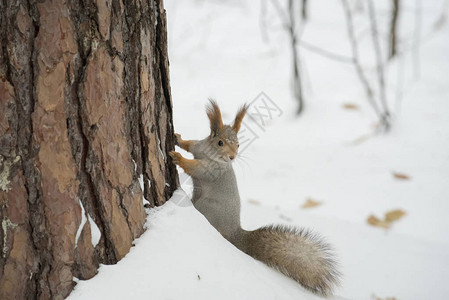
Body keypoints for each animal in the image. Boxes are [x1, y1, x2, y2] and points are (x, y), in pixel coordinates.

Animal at [169, 100, 340, 296]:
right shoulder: (198, 146)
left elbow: (195, 167)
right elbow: (190, 144)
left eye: (238, 145)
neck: (209, 153)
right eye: (220, 142)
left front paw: (178, 157)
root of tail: (235, 233)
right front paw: (178, 139)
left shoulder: (210, 171)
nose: (232, 157)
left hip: (208, 206)